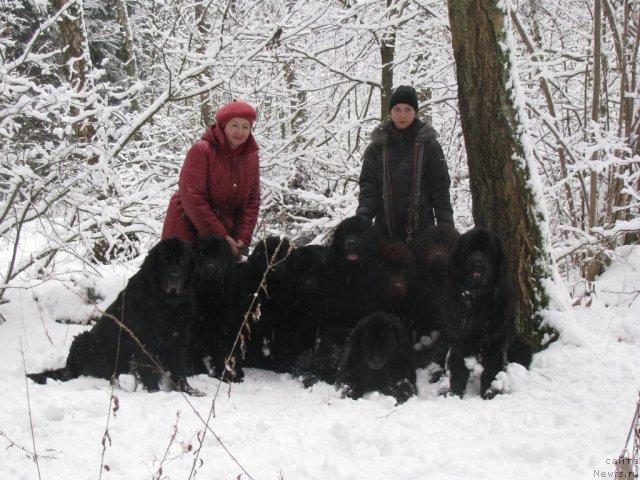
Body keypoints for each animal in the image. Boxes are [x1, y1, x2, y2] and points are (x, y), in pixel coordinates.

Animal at [27, 238, 200, 396]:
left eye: (183, 260)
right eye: (164, 260)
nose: (175, 276)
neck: (167, 304)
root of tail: (69, 368)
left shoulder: (178, 339)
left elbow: (179, 370)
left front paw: (189, 391)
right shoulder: (144, 342)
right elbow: (148, 371)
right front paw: (154, 393)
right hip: (84, 340)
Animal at [444, 227, 528, 400]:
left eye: (488, 251)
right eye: (468, 250)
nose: (477, 260)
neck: (477, 299)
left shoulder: (496, 339)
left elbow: (492, 368)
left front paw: (491, 391)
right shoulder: (458, 337)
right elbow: (458, 367)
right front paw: (454, 392)